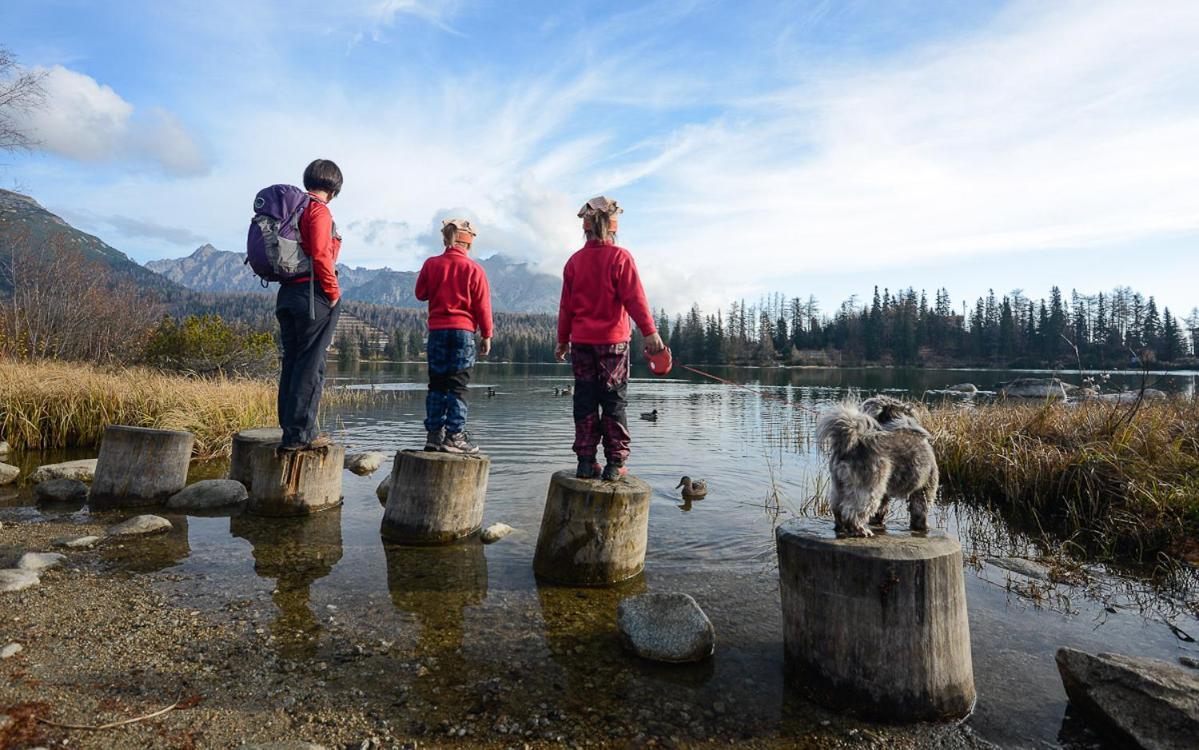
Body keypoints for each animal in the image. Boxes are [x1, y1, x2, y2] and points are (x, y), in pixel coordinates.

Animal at [815, 395, 935, 534]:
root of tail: (850, 445)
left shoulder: (886, 493)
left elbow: (881, 509)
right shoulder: (925, 487)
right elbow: (920, 509)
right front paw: (923, 527)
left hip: (839, 485)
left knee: (837, 508)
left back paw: (841, 527)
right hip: (870, 487)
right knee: (854, 511)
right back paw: (861, 530)